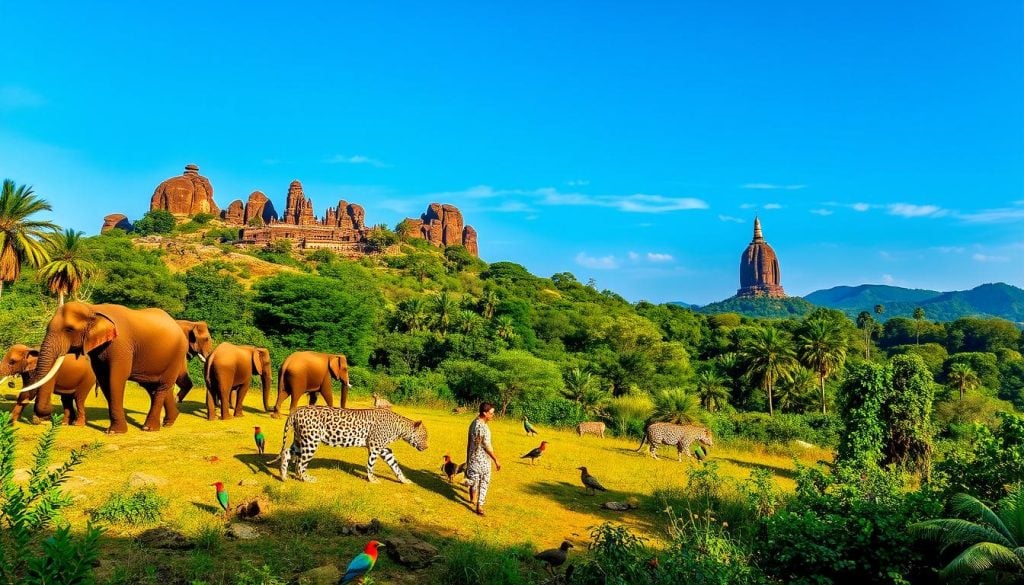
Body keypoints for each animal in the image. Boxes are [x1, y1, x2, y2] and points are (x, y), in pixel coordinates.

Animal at [19, 305, 187, 432]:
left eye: (69, 329)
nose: (46, 416)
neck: (93, 309)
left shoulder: (120, 345)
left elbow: (115, 379)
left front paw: (114, 432)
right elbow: (105, 380)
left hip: (177, 355)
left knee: (162, 387)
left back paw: (149, 428)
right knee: (153, 388)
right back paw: (169, 422)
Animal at [274, 405, 425, 483]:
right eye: (424, 437)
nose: (426, 446)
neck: (399, 429)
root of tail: (297, 411)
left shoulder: (384, 449)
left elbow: (395, 465)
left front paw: (404, 479)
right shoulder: (375, 446)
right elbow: (371, 464)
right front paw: (372, 479)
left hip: (300, 440)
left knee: (286, 453)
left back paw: (283, 476)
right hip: (311, 441)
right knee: (300, 463)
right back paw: (307, 478)